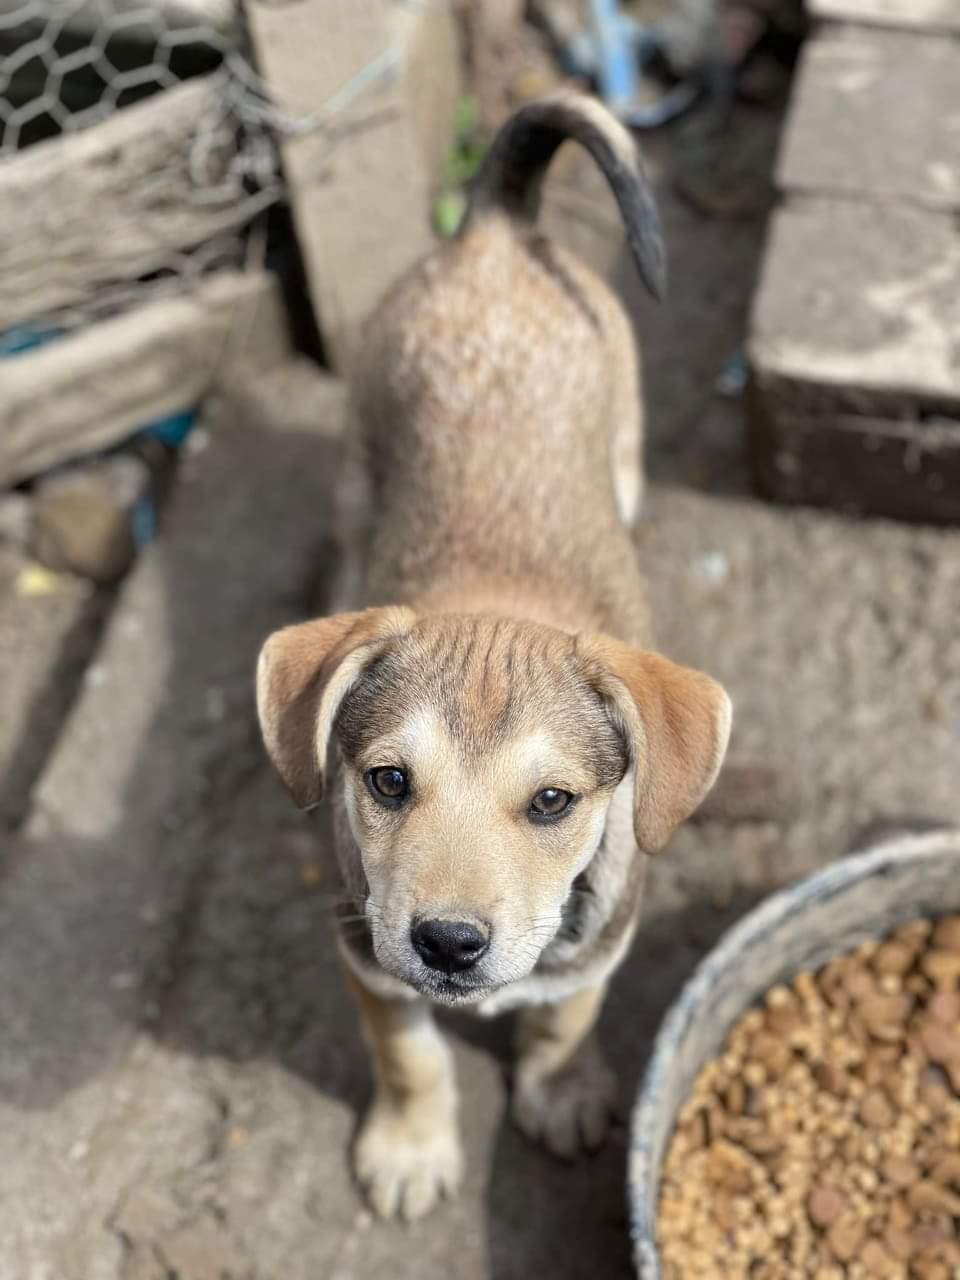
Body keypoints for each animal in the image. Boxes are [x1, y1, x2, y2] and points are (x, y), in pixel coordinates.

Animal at [256, 91, 732, 1222]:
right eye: (388, 781)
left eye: (553, 802)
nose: (448, 944)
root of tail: (497, 234)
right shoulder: (365, 954)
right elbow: (409, 1055)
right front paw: (410, 1146)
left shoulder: (601, 945)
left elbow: (561, 1015)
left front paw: (560, 1091)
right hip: (359, 460)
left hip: (623, 442)